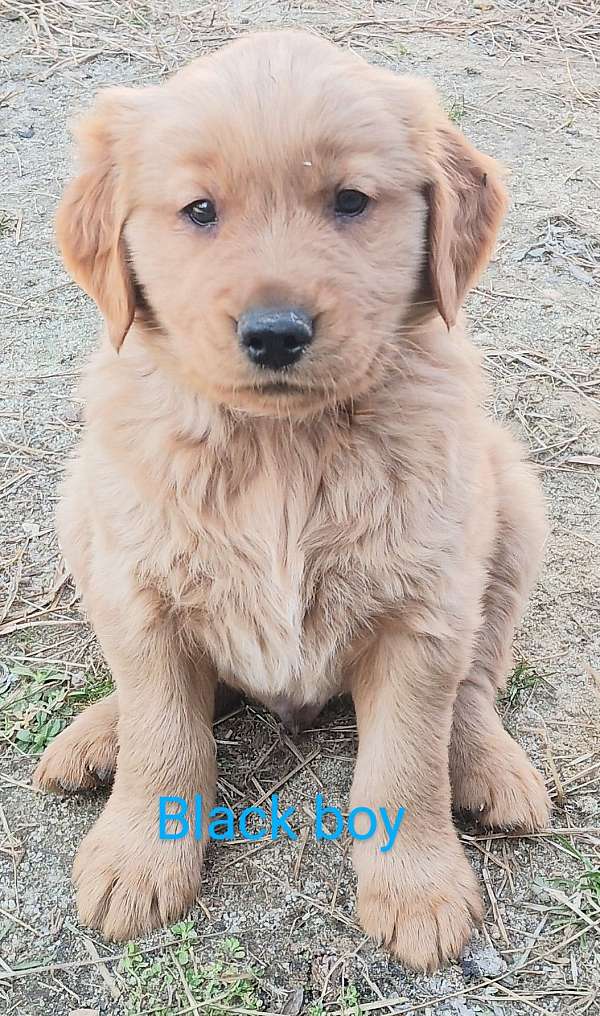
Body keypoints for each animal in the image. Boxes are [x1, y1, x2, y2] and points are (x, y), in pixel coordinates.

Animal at [31, 29, 548, 967]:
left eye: (350, 201)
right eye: (200, 210)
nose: (275, 333)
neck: (279, 448)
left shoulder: (424, 612)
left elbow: (405, 761)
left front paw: (418, 890)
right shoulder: (141, 586)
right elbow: (164, 734)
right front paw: (137, 858)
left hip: (513, 505)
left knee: (475, 683)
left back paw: (491, 767)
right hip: (83, 500)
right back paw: (96, 736)